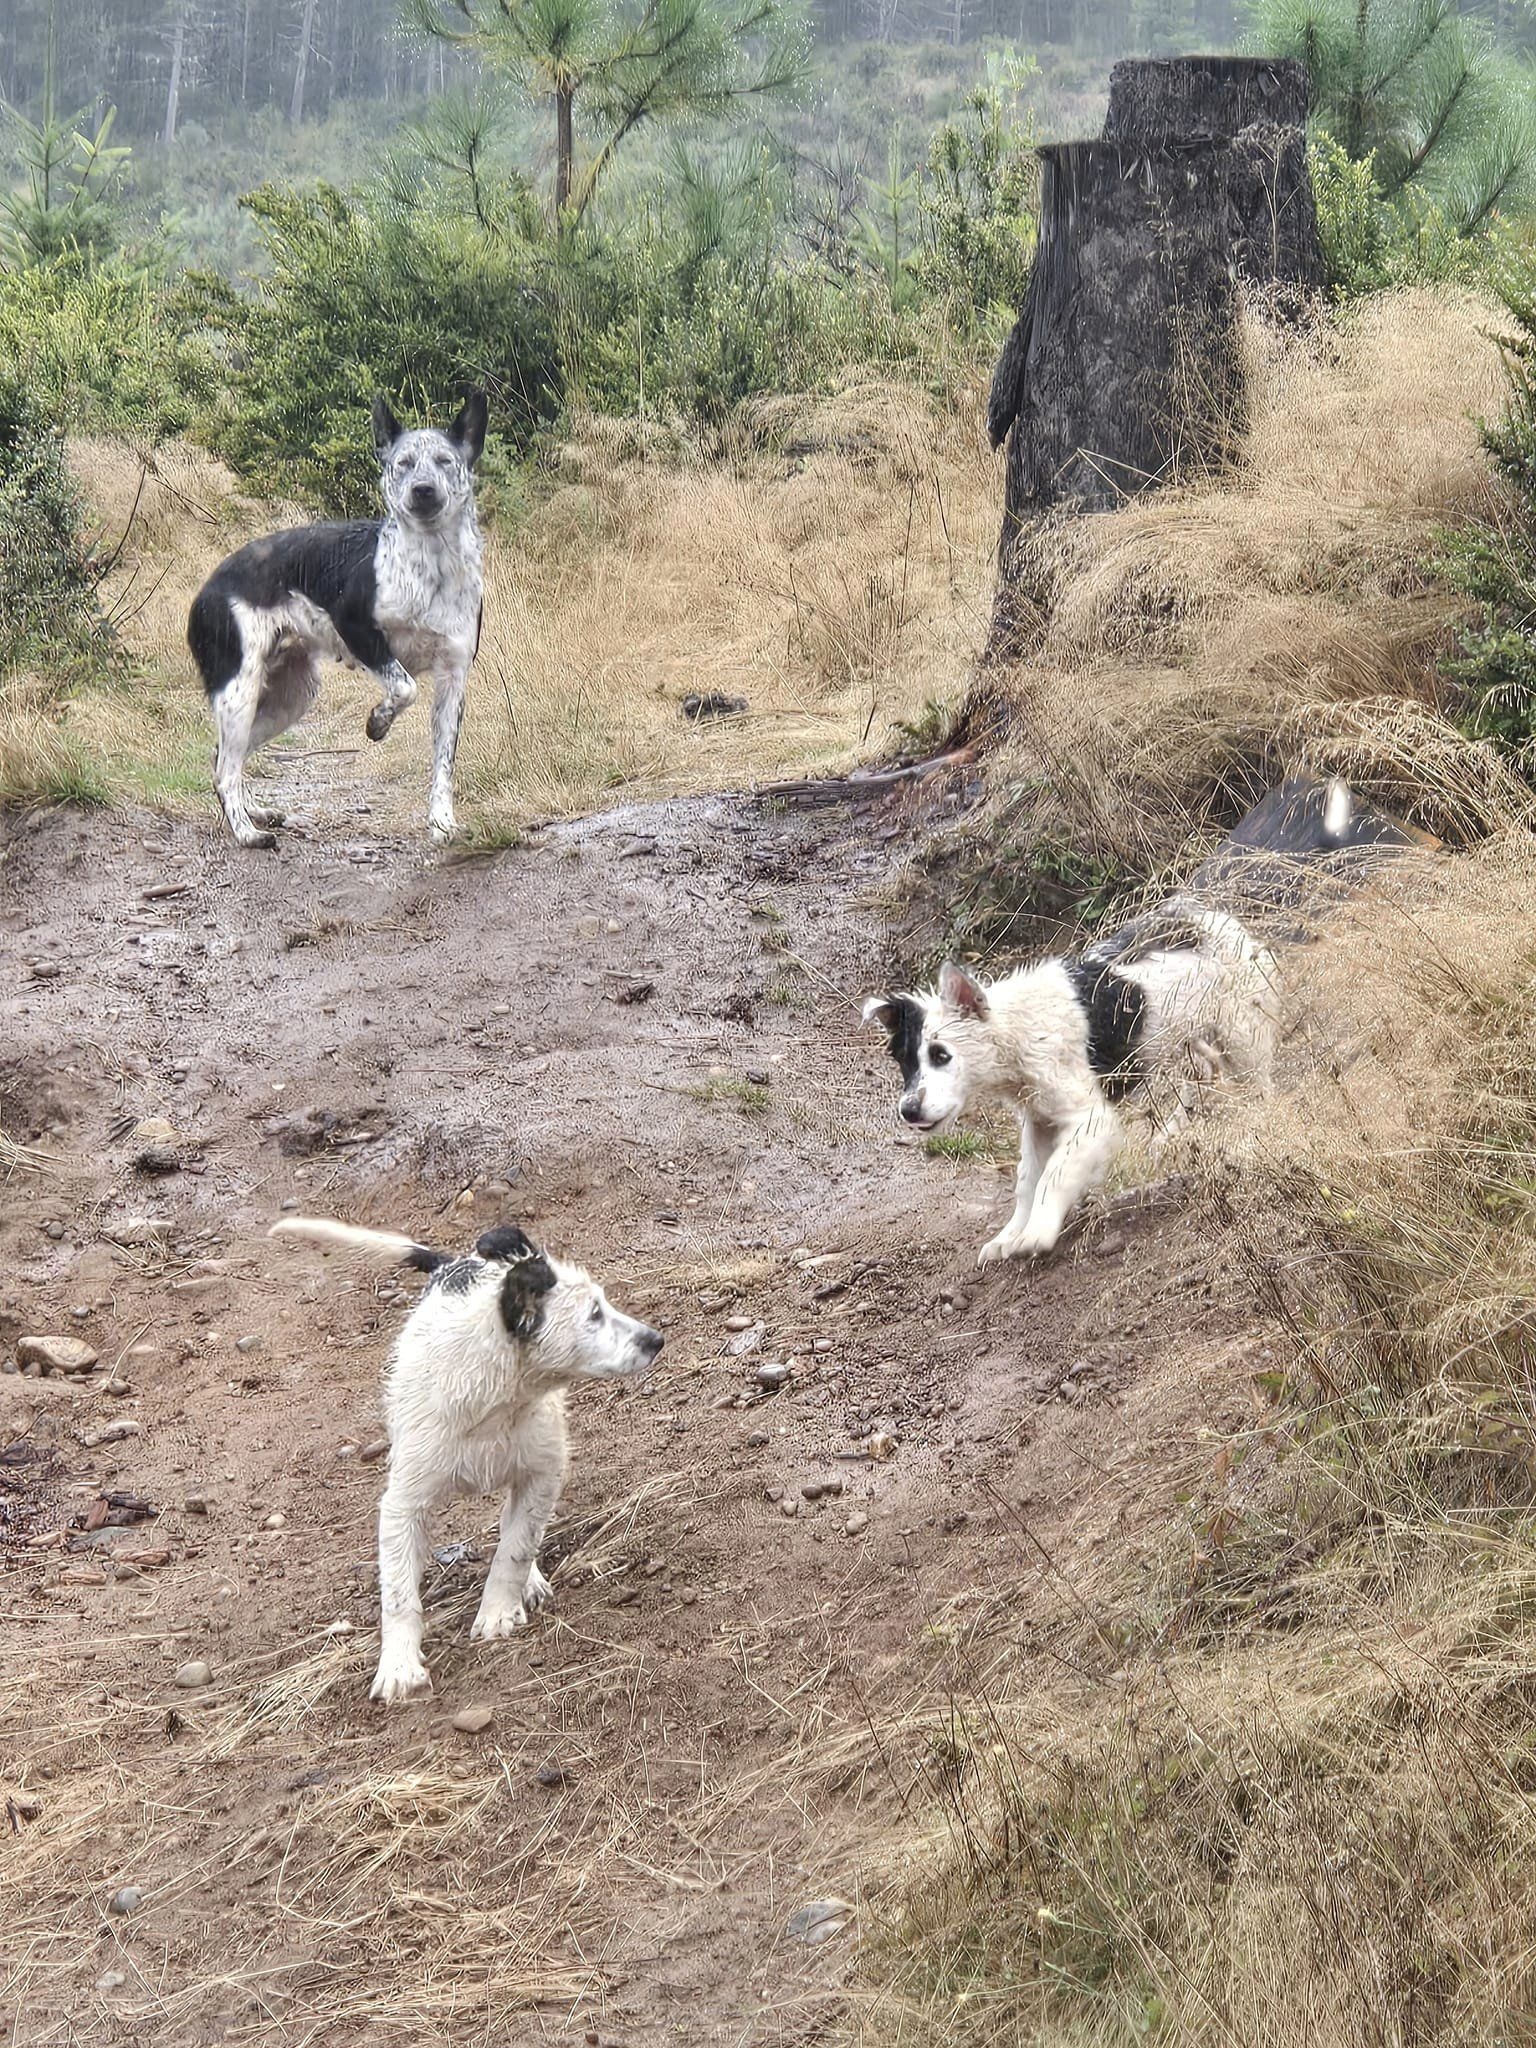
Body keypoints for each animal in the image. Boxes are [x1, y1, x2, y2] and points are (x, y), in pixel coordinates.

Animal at [188, 391, 487, 847]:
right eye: (403, 463)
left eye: (444, 461)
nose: (422, 490)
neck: (430, 568)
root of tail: (206, 592)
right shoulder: (357, 629)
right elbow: (405, 687)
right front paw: (378, 722)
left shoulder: (453, 679)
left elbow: (443, 765)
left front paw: (441, 821)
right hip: (240, 692)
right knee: (226, 770)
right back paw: (246, 832)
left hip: (290, 697)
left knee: (224, 759)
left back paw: (257, 812)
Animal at [272, 1212, 667, 1695]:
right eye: (593, 1314)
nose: (656, 1339)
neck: (496, 1399)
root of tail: (457, 1262)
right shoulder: (403, 1503)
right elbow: (398, 1594)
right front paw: (398, 1667)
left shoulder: (544, 1471)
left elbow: (515, 1547)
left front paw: (498, 1610)